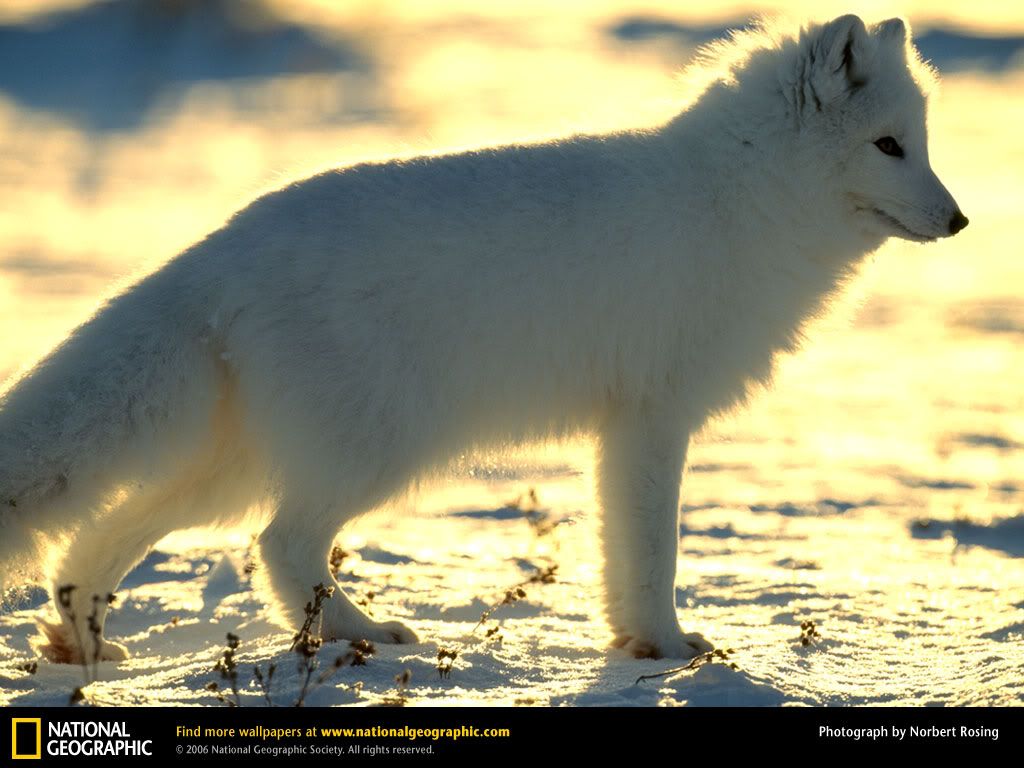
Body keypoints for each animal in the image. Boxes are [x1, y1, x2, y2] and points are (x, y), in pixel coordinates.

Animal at [0, 13, 962, 663]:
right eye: (888, 146)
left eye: (921, 144)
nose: (958, 221)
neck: (739, 199)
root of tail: (229, 242)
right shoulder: (655, 417)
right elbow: (654, 553)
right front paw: (668, 647)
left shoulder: (625, 429)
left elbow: (622, 553)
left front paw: (636, 644)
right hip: (375, 450)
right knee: (279, 544)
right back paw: (363, 634)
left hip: (234, 466)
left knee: (110, 536)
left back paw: (85, 643)